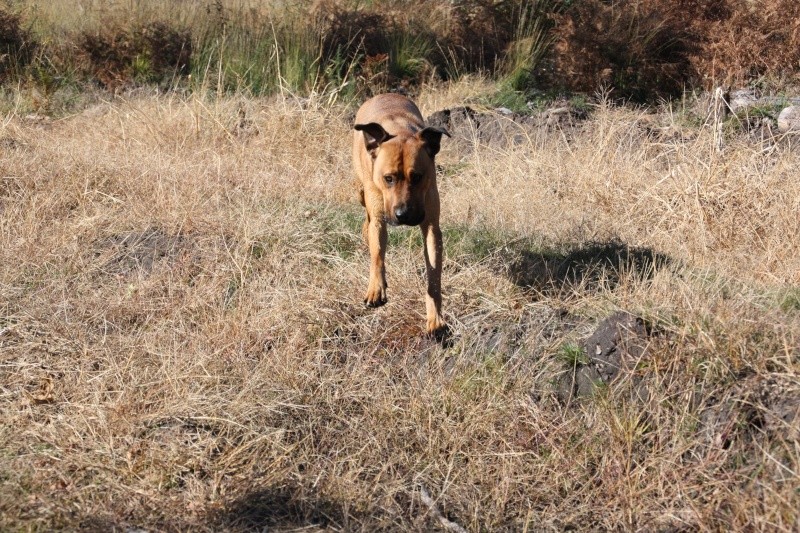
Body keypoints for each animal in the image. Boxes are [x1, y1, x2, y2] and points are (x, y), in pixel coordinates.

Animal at [352, 91, 450, 332]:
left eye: (418, 177)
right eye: (388, 178)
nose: (403, 215)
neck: (399, 130)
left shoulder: (431, 226)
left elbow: (434, 276)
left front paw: (435, 316)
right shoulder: (379, 217)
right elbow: (377, 253)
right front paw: (376, 288)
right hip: (361, 189)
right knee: (367, 217)